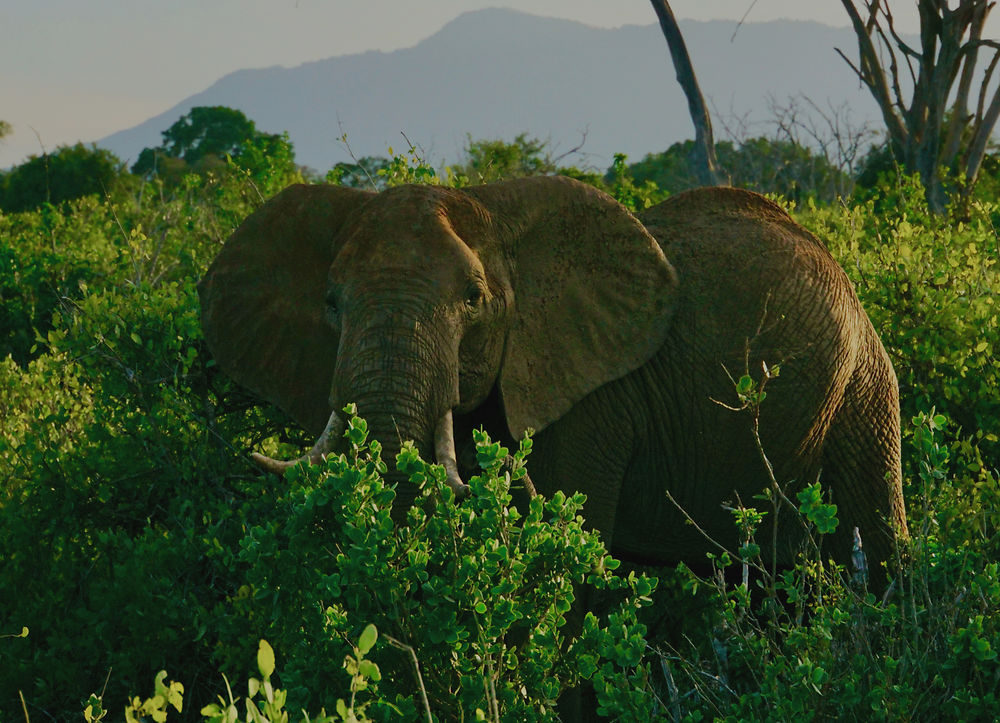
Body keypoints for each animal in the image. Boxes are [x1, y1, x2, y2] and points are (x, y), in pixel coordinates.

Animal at [199, 177, 912, 588]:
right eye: (331, 302)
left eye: (473, 301)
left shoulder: (595, 399)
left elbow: (564, 548)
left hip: (865, 387)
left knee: (879, 540)